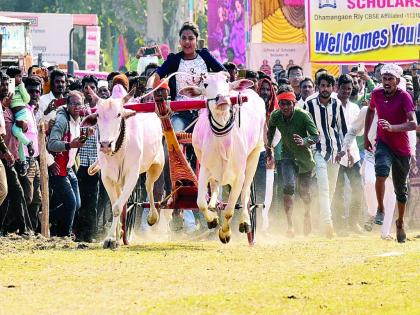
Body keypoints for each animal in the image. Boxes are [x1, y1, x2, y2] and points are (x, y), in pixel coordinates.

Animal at [81, 89, 164, 249]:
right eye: (98, 114)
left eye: (119, 114)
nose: (105, 144)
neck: (118, 148)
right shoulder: (107, 178)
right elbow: (115, 205)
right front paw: (114, 236)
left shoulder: (132, 176)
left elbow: (117, 207)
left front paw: (113, 238)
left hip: (157, 166)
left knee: (149, 186)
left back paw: (152, 216)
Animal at [179, 73, 264, 244]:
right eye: (205, 84)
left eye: (226, 81)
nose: (222, 99)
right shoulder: (204, 169)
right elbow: (200, 202)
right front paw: (212, 220)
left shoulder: (239, 176)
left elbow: (230, 209)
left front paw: (225, 233)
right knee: (214, 186)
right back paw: (213, 204)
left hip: (254, 156)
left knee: (245, 195)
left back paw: (245, 221)